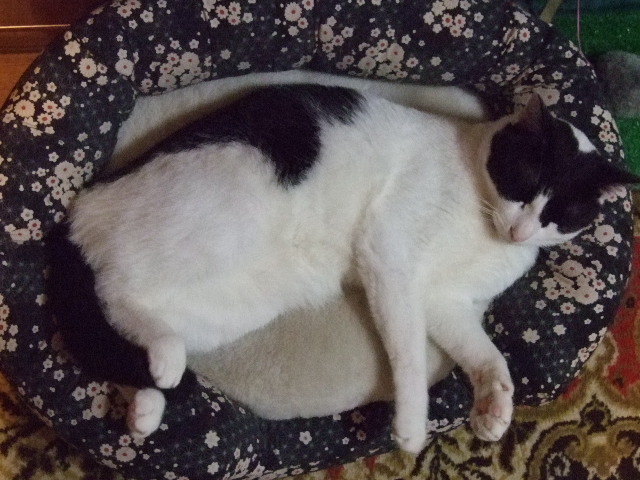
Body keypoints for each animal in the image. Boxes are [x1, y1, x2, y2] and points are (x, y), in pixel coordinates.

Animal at [51, 82, 639, 454]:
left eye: (559, 214)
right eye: (524, 182)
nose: (521, 232)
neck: (486, 217)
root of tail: (84, 205)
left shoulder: (444, 302)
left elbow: (487, 354)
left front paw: (494, 404)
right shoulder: (390, 255)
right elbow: (408, 353)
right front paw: (411, 430)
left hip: (233, 303)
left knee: (127, 335)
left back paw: (147, 402)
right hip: (223, 229)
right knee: (115, 292)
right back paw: (163, 365)